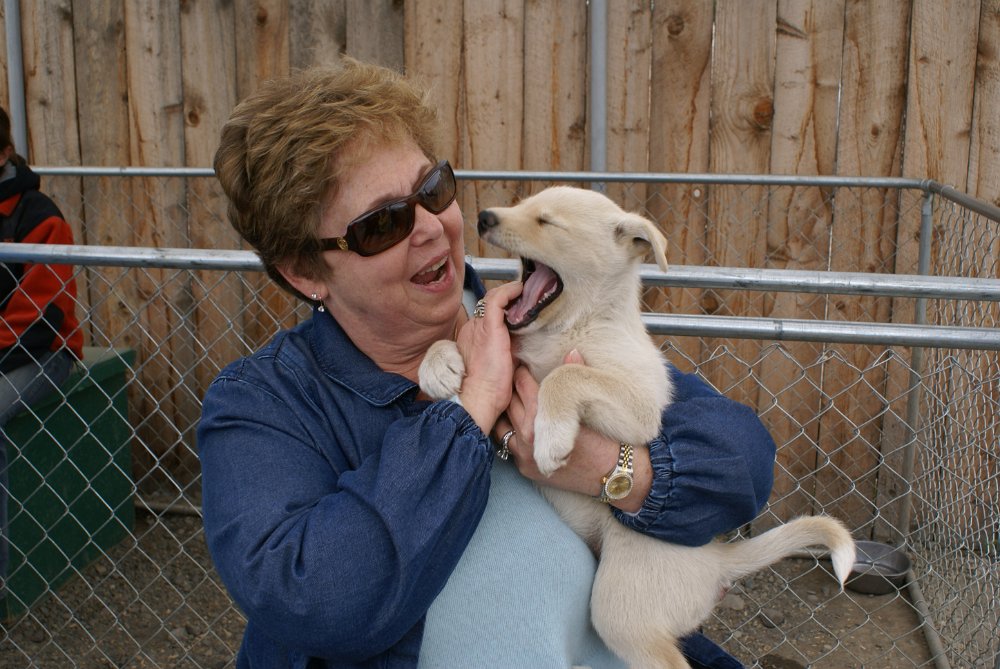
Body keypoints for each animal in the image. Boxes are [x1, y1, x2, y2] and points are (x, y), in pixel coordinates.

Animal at [419, 186, 856, 669]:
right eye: (522, 204)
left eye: (547, 221)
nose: (483, 217)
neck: (573, 324)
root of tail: (716, 560)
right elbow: (454, 341)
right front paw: (436, 368)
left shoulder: (640, 407)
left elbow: (565, 376)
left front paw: (551, 438)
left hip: (621, 605)